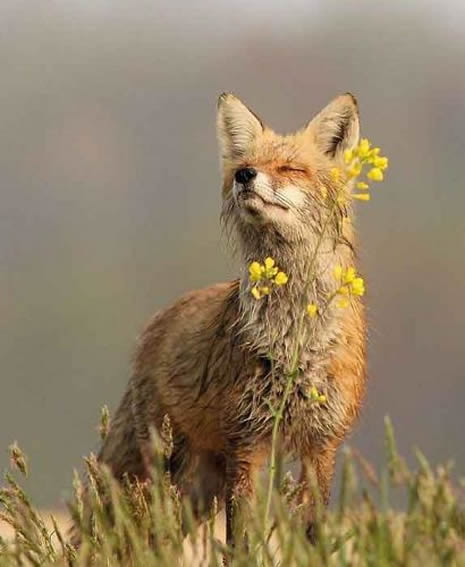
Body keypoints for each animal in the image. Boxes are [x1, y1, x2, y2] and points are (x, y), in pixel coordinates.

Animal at [99, 92, 366, 544]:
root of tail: (154, 324)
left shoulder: (322, 444)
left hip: (197, 491)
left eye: (291, 168)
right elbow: (242, 544)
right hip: (170, 476)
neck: (294, 341)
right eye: (247, 163)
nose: (244, 175)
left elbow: (313, 536)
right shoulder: (248, 441)